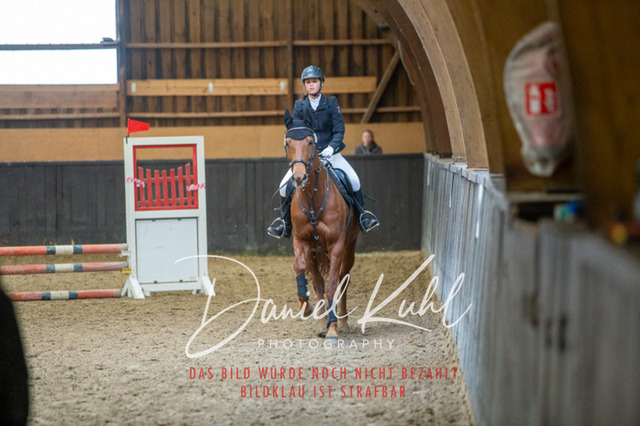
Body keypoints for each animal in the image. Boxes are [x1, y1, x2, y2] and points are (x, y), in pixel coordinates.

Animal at [283, 113, 360, 344]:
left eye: (310, 142)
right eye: (287, 143)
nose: (299, 177)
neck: (312, 199)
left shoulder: (337, 246)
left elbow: (333, 285)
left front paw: (333, 330)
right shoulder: (301, 241)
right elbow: (301, 270)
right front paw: (305, 306)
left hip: (349, 248)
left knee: (343, 279)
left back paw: (342, 323)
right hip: (314, 253)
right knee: (318, 282)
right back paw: (320, 322)